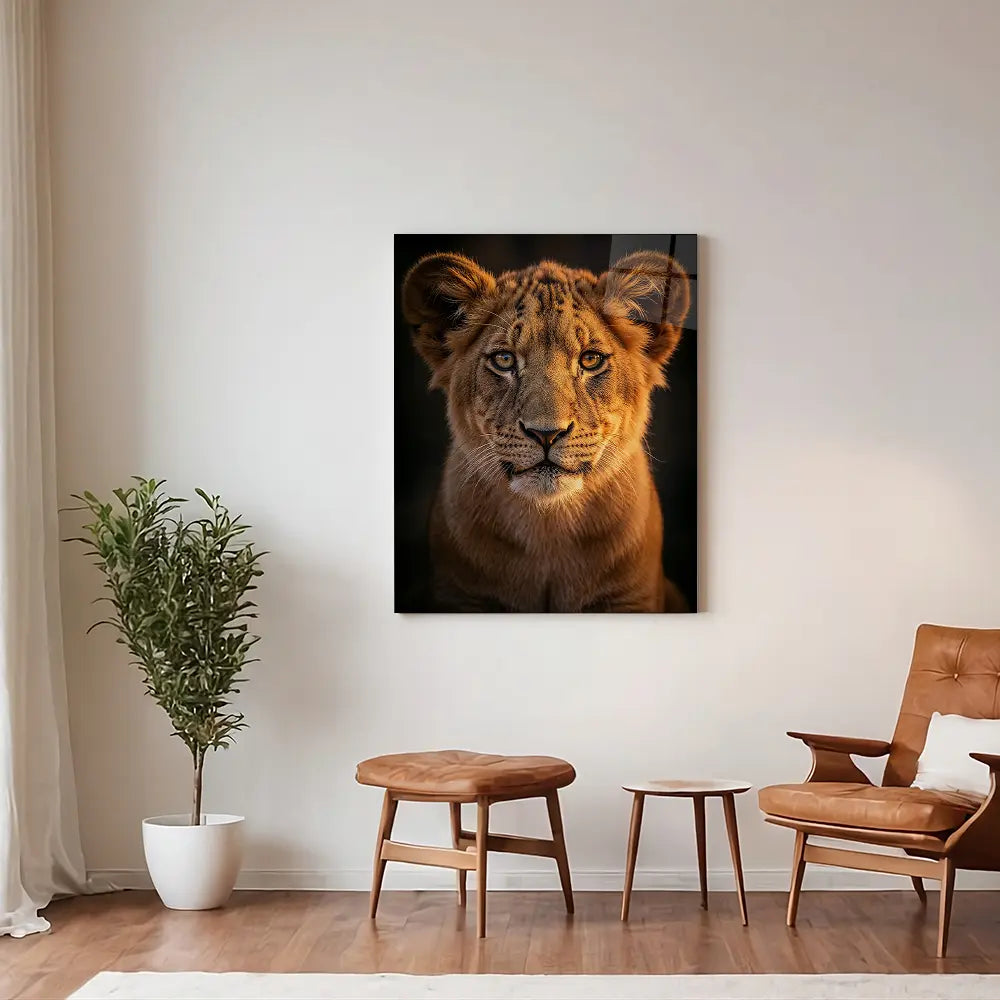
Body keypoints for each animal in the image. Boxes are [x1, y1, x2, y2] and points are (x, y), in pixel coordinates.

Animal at [401, 249, 690, 613]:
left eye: (590, 360)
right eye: (504, 359)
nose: (546, 434)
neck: (548, 527)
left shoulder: (629, 599)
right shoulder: (462, 595)